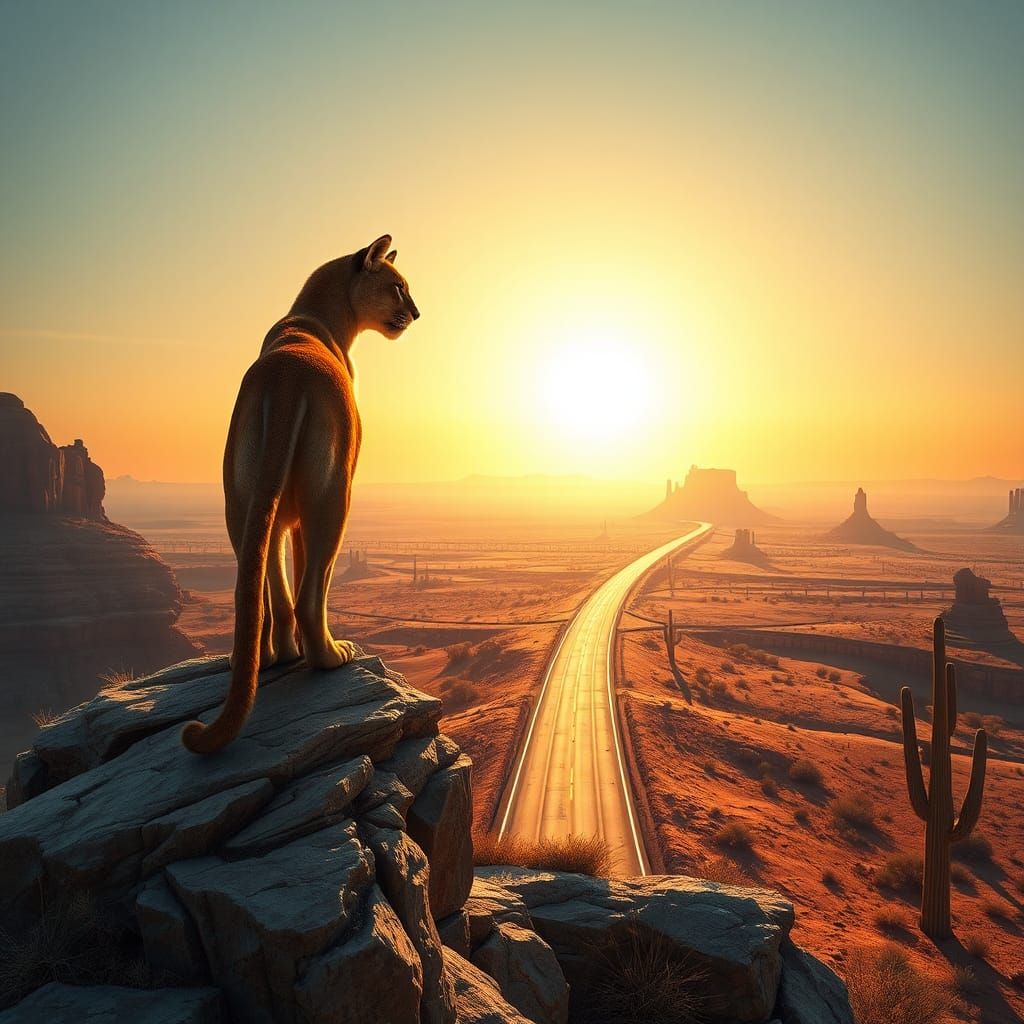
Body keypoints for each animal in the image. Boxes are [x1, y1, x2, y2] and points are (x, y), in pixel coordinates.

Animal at [182, 235, 420, 754]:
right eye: (398, 287)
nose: (416, 313)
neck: (317, 316)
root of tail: (286, 374)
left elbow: (278, 582)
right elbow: (302, 570)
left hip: (242, 504)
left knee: (258, 589)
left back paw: (264, 657)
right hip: (334, 495)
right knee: (311, 592)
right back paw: (331, 655)